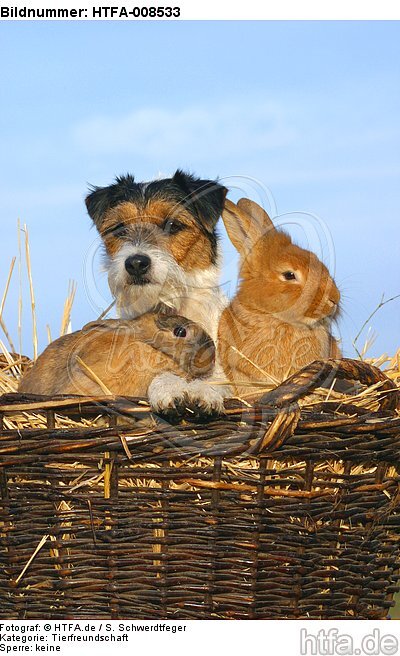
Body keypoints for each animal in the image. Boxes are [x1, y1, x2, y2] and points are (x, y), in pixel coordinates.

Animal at [86, 169, 231, 416]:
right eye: (119, 228)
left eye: (173, 225)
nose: (135, 263)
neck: (168, 303)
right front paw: (168, 387)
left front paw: (204, 391)